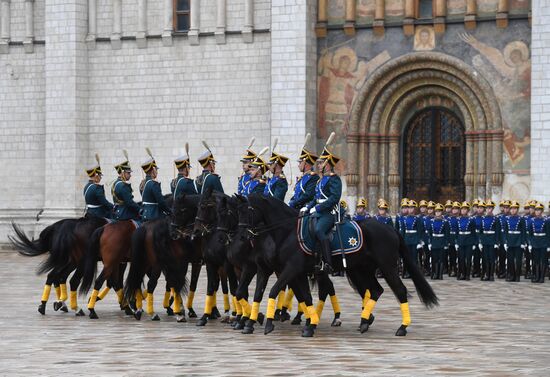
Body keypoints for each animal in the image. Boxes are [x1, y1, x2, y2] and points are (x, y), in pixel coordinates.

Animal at [242, 192, 440, 336]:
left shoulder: (291, 269)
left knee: (399, 290)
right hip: (362, 269)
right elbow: (302, 296)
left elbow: (275, 291)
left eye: (247, 210)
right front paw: (309, 323)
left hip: (387, 267)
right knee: (375, 290)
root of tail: (390, 229)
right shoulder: (289, 271)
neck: (287, 232)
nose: (245, 235)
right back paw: (363, 322)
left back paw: (402, 327)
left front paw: (269, 323)